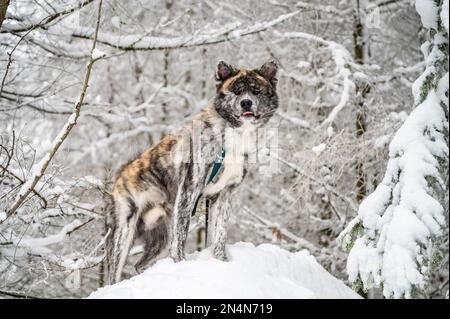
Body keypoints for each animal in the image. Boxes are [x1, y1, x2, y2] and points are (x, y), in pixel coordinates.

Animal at [105, 60, 278, 284]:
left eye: (256, 91)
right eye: (236, 91)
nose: (246, 103)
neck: (231, 134)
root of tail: (120, 177)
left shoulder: (223, 195)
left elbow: (219, 234)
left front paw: (221, 261)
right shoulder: (189, 191)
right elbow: (180, 239)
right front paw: (180, 265)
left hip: (159, 235)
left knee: (139, 264)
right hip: (124, 231)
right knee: (114, 272)